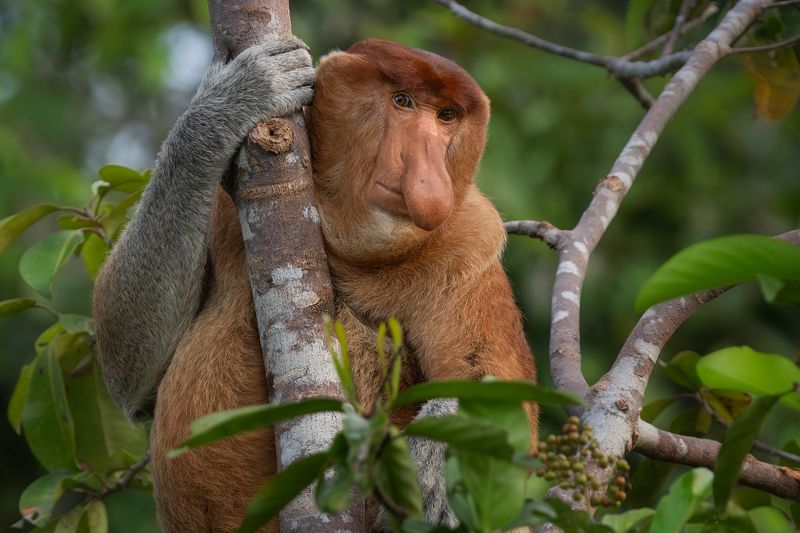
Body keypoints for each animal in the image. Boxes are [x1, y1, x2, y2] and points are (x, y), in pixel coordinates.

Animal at [92, 36, 537, 532]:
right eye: (403, 101)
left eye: (446, 117)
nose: (428, 177)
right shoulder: (227, 204)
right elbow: (132, 375)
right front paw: (233, 99)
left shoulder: (469, 245)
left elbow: (504, 396)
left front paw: (435, 455)